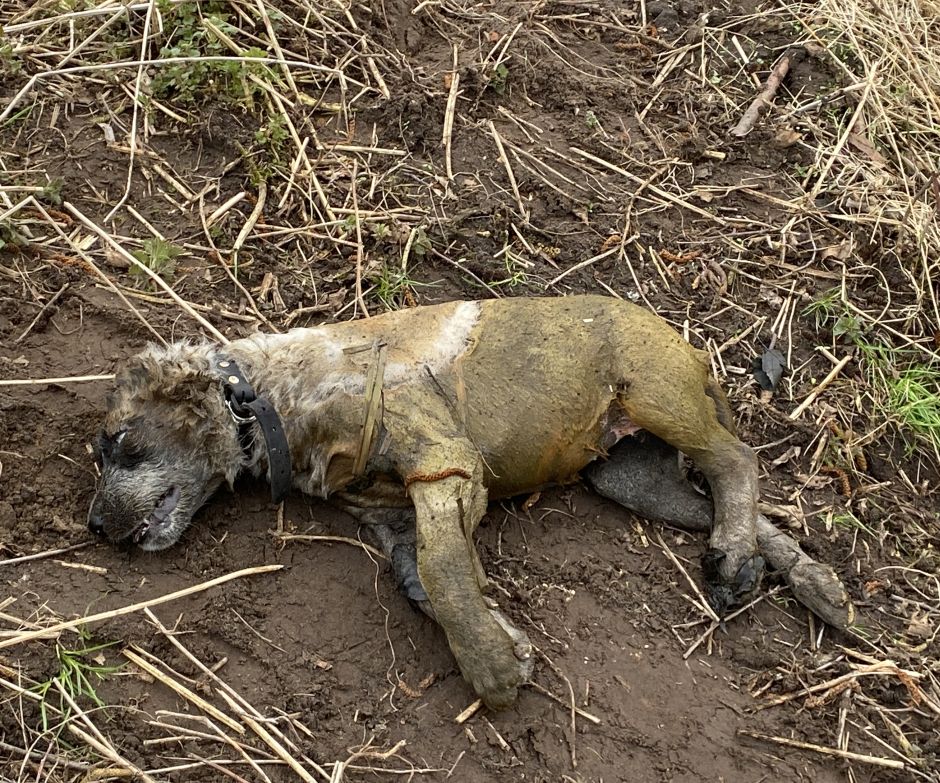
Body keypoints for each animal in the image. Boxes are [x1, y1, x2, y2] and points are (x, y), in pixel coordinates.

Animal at [88, 296, 852, 712]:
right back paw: (801, 578)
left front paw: (489, 665)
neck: (274, 398)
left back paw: (737, 558)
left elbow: (447, 574)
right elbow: (422, 576)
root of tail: (688, 346)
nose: (94, 526)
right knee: (727, 501)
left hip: (655, 394)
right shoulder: (392, 515)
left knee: (736, 459)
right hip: (628, 475)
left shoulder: (444, 462)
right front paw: (504, 638)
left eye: (119, 441)